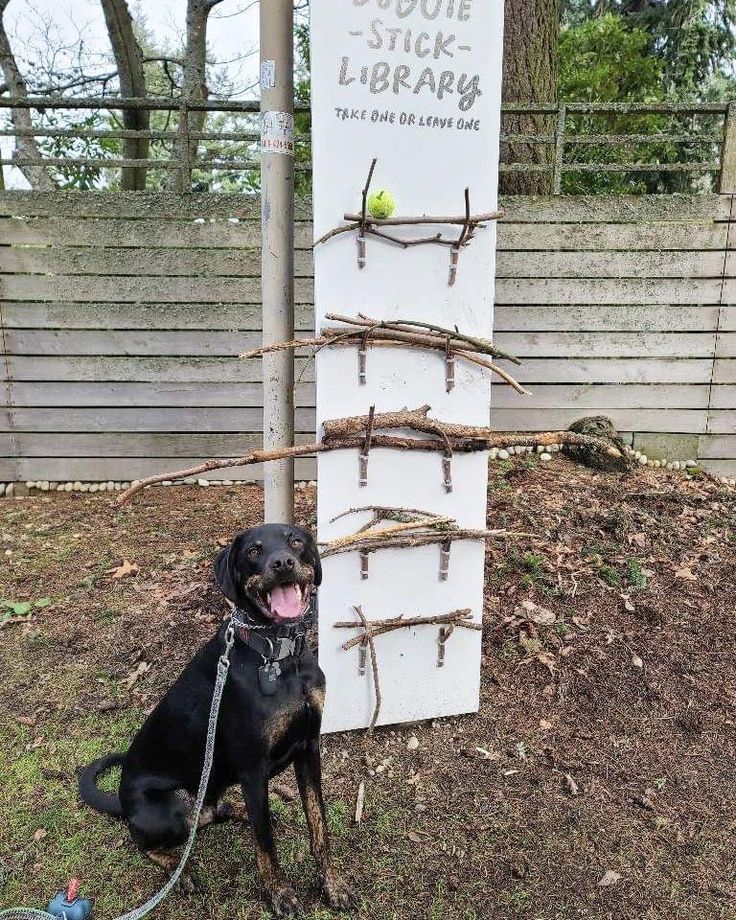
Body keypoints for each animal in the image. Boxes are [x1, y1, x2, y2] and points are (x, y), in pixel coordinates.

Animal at [79, 520, 356, 916]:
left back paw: (233, 809)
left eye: (296, 542)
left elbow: (319, 827)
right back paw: (181, 872)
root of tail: (122, 801)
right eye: (254, 551)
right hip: (174, 803)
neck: (280, 658)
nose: (283, 563)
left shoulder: (309, 748)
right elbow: (265, 843)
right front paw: (280, 894)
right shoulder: (253, 770)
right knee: (146, 842)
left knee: (210, 814)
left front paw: (332, 885)